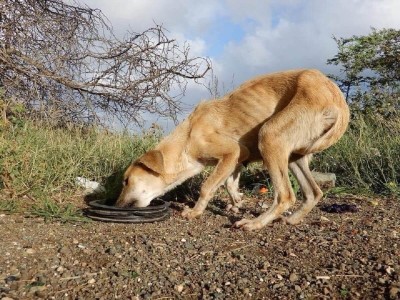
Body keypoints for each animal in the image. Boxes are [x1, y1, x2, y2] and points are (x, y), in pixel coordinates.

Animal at [116, 69, 350, 231]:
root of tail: (337, 98)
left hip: (270, 137)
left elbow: (207, 186)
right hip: (293, 155)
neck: (187, 138)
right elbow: (229, 183)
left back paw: (255, 224)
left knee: (285, 196)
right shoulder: (238, 157)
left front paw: (195, 212)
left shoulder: (231, 152)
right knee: (313, 192)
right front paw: (236, 201)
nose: (116, 206)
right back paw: (292, 219)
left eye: (126, 181)